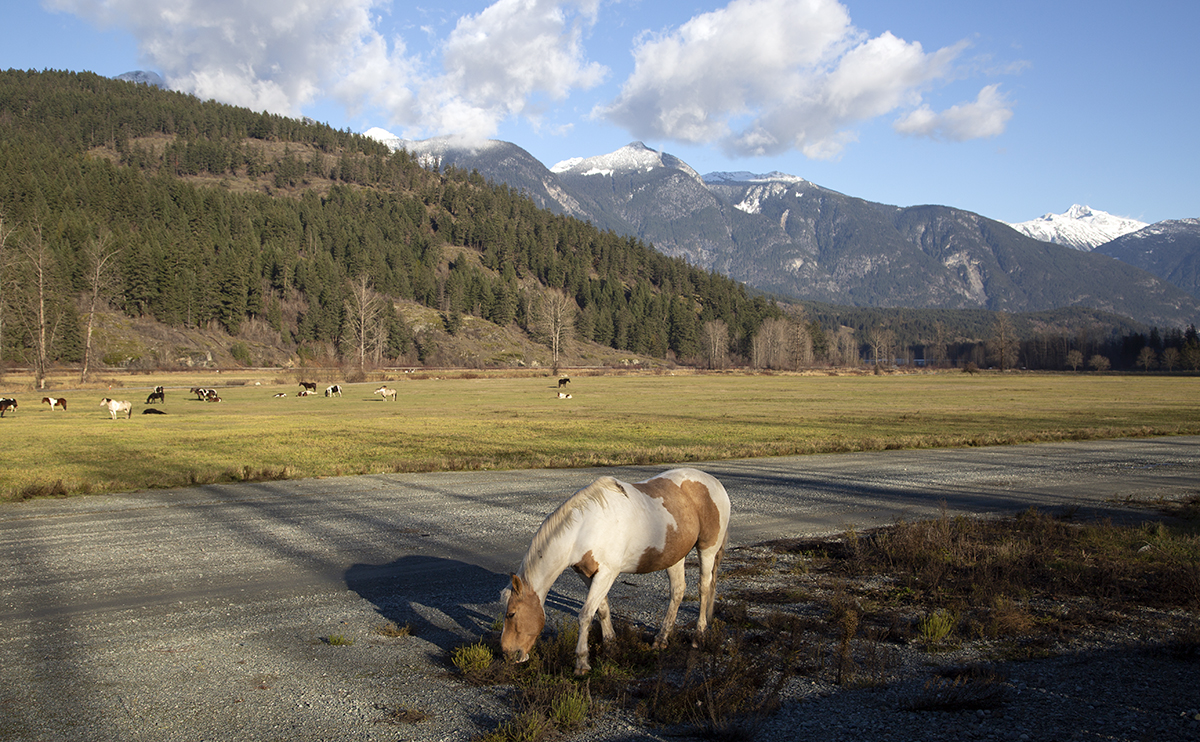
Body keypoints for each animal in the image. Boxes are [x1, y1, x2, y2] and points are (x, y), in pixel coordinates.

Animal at [499, 468, 729, 677]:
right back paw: (661, 639)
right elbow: (601, 609)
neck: (583, 528)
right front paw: (611, 644)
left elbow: (585, 614)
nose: (508, 654)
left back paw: (698, 636)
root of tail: (715, 483)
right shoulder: (587, 574)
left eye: (511, 614)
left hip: (707, 549)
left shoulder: (607, 573)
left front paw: (582, 663)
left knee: (704, 588)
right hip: (674, 556)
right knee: (678, 591)